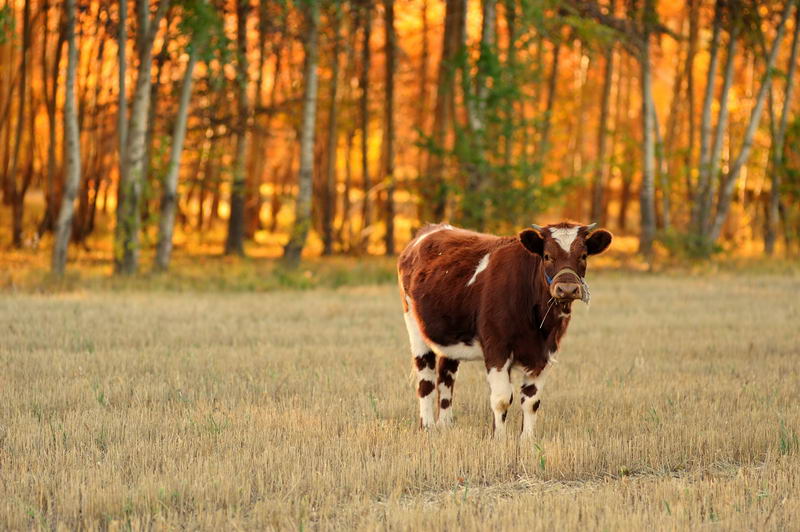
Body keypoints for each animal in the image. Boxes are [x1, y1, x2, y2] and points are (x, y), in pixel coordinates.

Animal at [398, 220, 612, 436]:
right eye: (547, 256)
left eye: (583, 256)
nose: (567, 289)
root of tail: (431, 229)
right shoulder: (497, 349)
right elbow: (501, 399)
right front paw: (499, 438)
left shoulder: (545, 354)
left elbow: (531, 400)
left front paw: (527, 439)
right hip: (416, 330)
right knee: (425, 381)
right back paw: (427, 426)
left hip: (450, 338)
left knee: (446, 378)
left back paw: (445, 425)